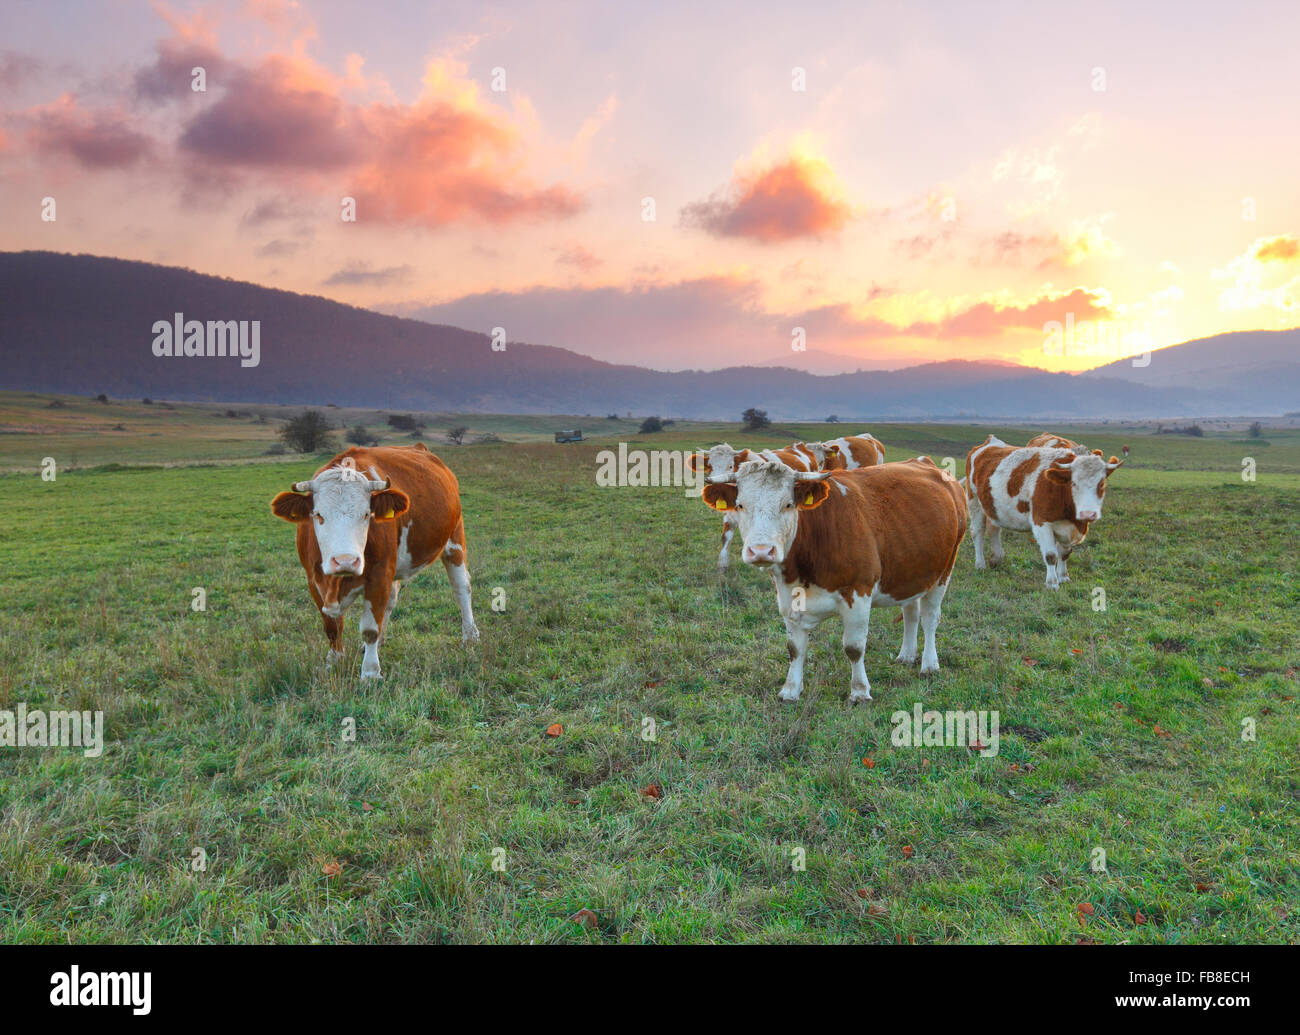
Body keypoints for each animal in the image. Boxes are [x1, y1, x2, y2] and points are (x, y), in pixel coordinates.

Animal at [269, 444, 478, 681]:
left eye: (366, 514)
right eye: (318, 515)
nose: (345, 561)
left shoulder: (379, 575)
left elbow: (370, 628)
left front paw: (370, 672)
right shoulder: (313, 579)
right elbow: (331, 626)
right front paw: (334, 661)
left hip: (454, 539)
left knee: (462, 588)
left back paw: (470, 636)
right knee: (391, 600)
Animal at [702, 455, 967, 702]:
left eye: (788, 504)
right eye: (740, 505)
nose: (760, 551)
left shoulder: (858, 593)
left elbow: (854, 648)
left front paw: (859, 692)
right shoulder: (787, 598)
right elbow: (795, 649)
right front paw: (790, 690)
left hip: (945, 569)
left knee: (930, 618)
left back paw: (929, 665)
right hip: (910, 570)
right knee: (911, 612)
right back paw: (906, 655)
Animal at [967, 431, 1128, 585]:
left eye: (1101, 484)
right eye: (1073, 483)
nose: (1088, 514)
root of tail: (990, 441)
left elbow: (1064, 552)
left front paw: (1063, 577)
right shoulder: (1041, 522)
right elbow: (1051, 555)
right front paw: (1052, 583)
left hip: (994, 508)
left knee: (994, 528)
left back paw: (997, 558)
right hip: (974, 502)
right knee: (977, 531)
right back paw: (980, 564)